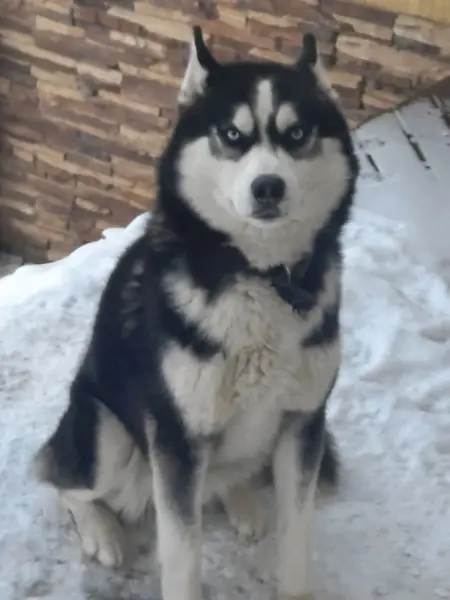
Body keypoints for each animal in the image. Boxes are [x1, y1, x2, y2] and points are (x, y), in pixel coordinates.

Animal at [34, 27, 359, 600]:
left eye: (297, 134)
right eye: (232, 134)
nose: (268, 186)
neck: (259, 275)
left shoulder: (303, 422)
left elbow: (296, 536)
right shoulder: (176, 439)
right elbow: (182, 552)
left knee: (228, 480)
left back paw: (244, 503)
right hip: (107, 435)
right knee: (62, 478)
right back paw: (102, 531)